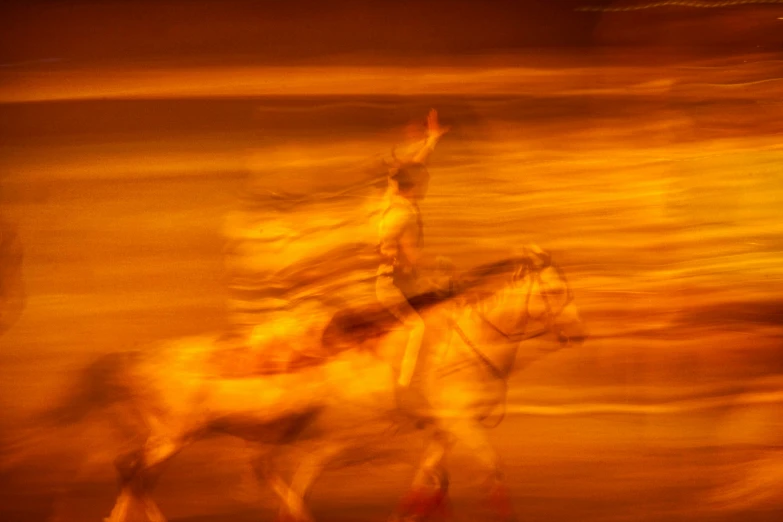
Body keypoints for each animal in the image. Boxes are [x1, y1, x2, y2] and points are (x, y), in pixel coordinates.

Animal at [39, 248, 584, 520]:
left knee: (140, 475)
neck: (460, 343)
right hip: (173, 435)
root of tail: (131, 358)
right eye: (555, 291)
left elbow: (428, 487)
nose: (577, 333)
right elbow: (488, 476)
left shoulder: (438, 429)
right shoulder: (455, 425)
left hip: (187, 437)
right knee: (134, 472)